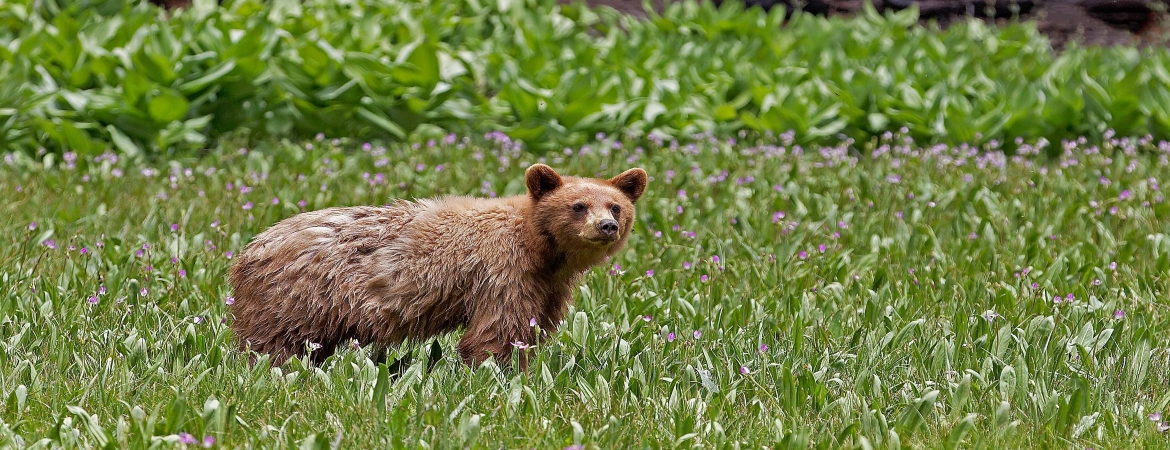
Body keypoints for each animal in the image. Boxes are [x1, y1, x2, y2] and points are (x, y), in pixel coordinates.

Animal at [227, 164, 648, 372]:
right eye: (578, 205)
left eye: (615, 206)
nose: (606, 226)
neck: (540, 250)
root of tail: (248, 251)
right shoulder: (503, 272)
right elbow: (496, 330)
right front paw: (498, 375)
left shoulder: (547, 286)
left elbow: (531, 327)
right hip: (297, 297)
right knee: (275, 343)